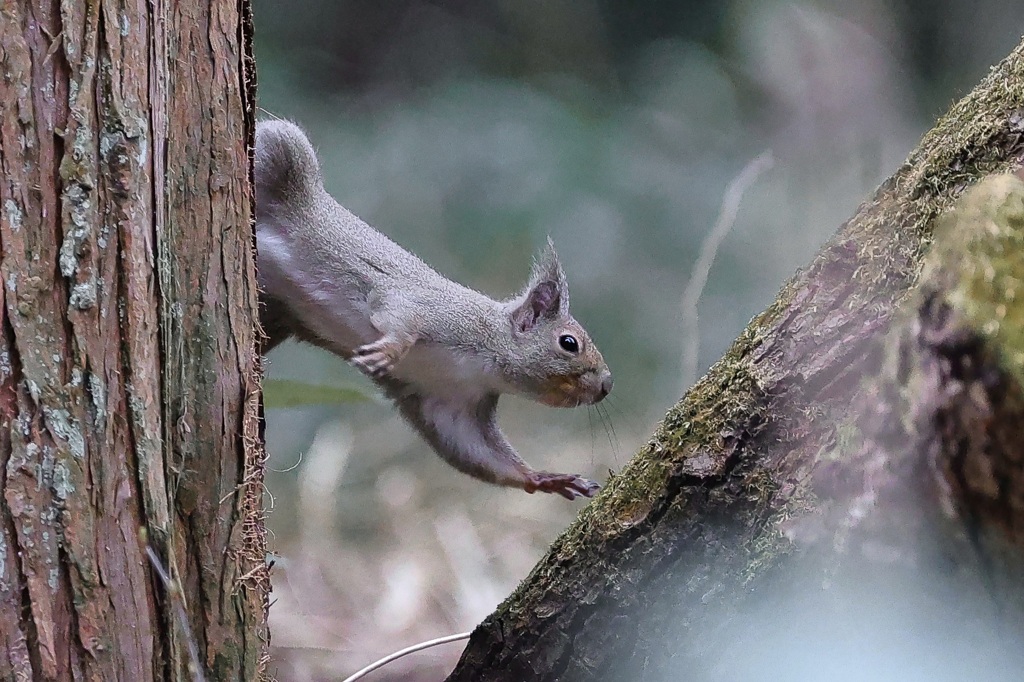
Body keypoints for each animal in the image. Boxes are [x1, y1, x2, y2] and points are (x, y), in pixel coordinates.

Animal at [254, 118, 610, 499]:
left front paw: (545, 478)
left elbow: (476, 452)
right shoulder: (429, 310)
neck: (484, 358)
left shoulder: (449, 403)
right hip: (282, 152)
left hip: (276, 312)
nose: (607, 385)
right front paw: (389, 351)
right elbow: (398, 318)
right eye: (569, 343)